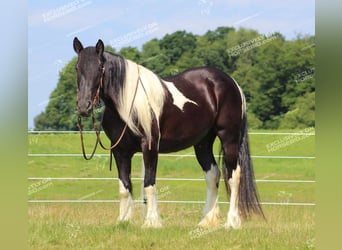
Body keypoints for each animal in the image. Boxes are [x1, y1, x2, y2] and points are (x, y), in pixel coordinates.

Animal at [73, 37, 264, 229]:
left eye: (100, 68)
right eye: (77, 68)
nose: (83, 107)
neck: (127, 104)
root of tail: (232, 83)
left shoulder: (149, 146)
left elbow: (149, 183)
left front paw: (151, 222)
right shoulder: (120, 151)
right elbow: (124, 187)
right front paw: (123, 220)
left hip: (229, 138)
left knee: (234, 176)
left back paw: (232, 222)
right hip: (203, 143)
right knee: (213, 175)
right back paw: (206, 221)